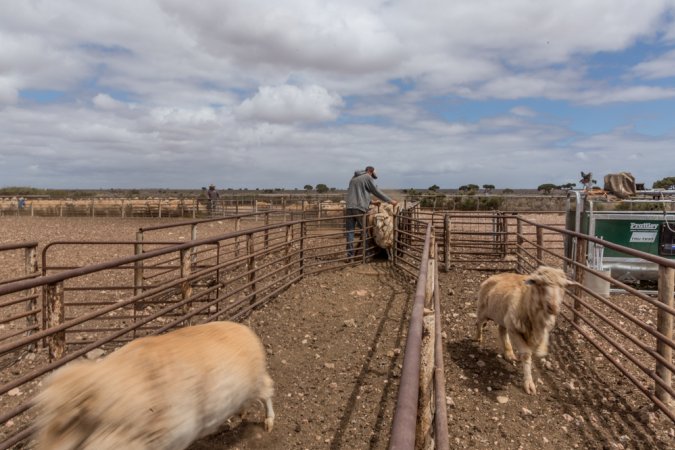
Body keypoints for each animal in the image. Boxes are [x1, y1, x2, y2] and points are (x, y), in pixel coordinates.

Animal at [35, 322, 274, 448]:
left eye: (68, 423)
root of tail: (244, 329)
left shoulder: (176, 436)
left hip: (255, 381)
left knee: (267, 390)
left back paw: (268, 422)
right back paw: (241, 414)